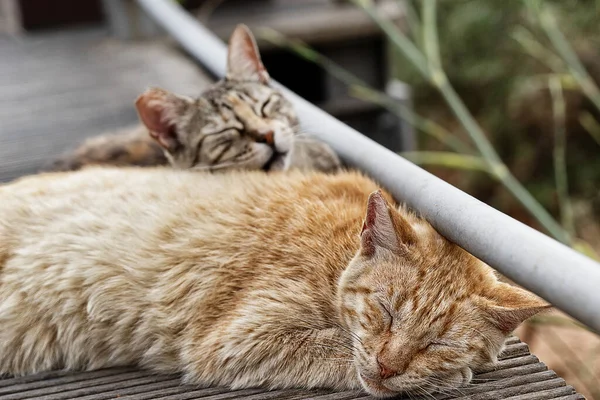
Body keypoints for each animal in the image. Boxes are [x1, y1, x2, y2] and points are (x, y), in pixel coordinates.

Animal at [0, 166, 548, 396]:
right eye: (386, 311)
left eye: (438, 343)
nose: (389, 368)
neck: (335, 253)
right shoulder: (238, 339)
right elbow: (336, 349)